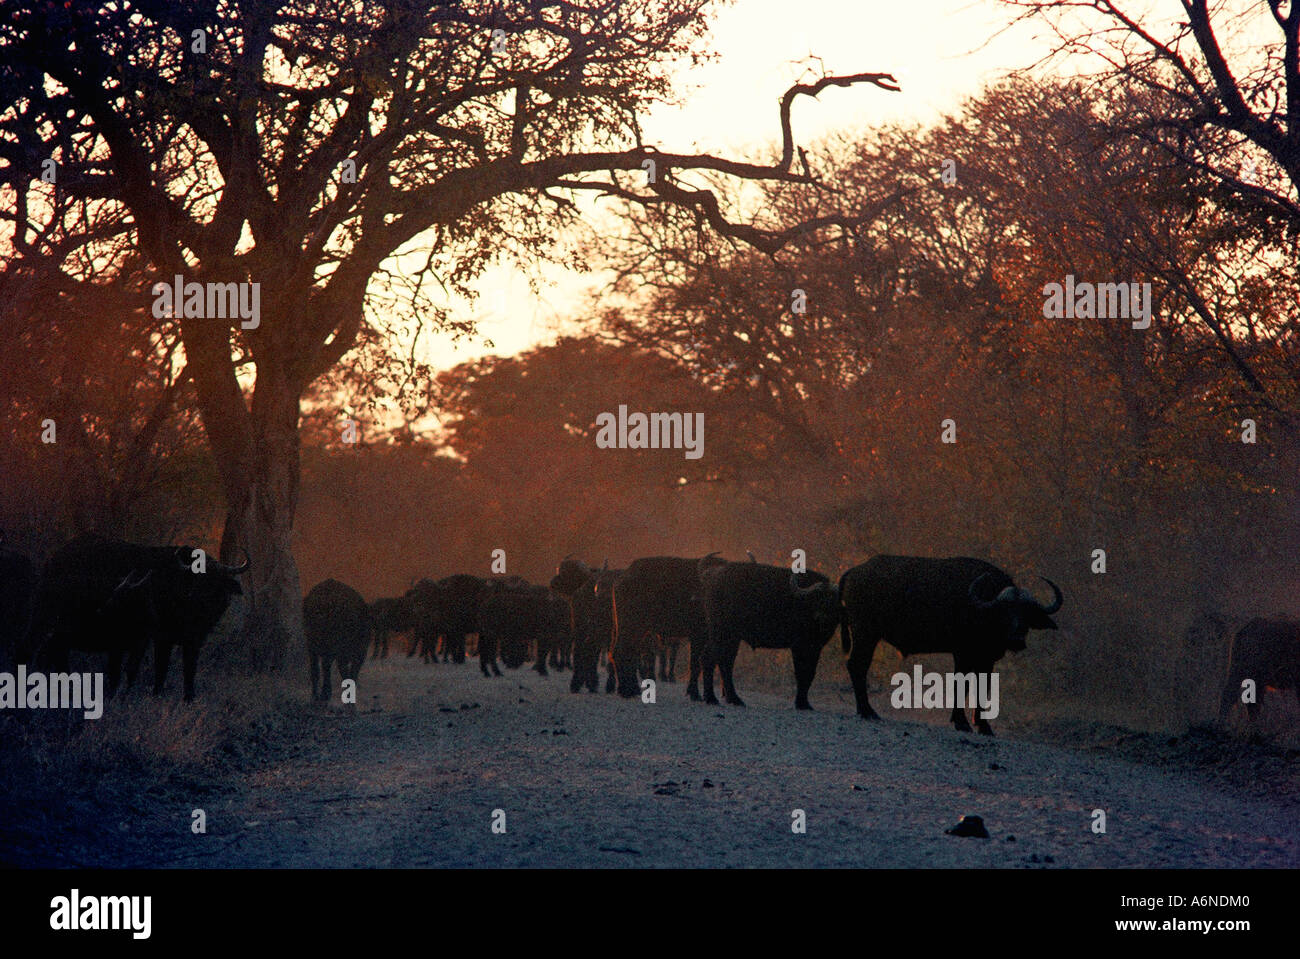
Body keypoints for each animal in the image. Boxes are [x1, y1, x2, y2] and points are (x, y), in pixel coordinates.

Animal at [29, 530, 248, 696]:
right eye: (200, 580)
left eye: (218, 583)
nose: (207, 599)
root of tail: (53, 559)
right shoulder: (161, 638)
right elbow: (161, 670)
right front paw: (156, 695)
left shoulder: (194, 640)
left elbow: (189, 672)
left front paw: (189, 698)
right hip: (46, 618)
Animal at [696, 556, 837, 706]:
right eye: (817, 600)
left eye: (833, 602)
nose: (822, 617)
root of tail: (712, 575)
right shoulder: (798, 645)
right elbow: (800, 672)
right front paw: (801, 703)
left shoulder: (816, 647)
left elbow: (810, 673)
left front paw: (804, 703)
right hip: (720, 631)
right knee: (711, 658)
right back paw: (713, 698)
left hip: (731, 637)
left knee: (725, 661)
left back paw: (730, 698)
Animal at [837, 553, 1060, 732]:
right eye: (1004, 611)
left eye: (1026, 613)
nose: (1016, 639)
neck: (980, 610)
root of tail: (856, 570)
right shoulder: (962, 653)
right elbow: (962, 684)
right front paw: (961, 722)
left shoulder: (987, 658)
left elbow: (983, 687)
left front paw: (983, 726)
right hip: (865, 634)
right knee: (857, 666)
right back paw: (867, 711)